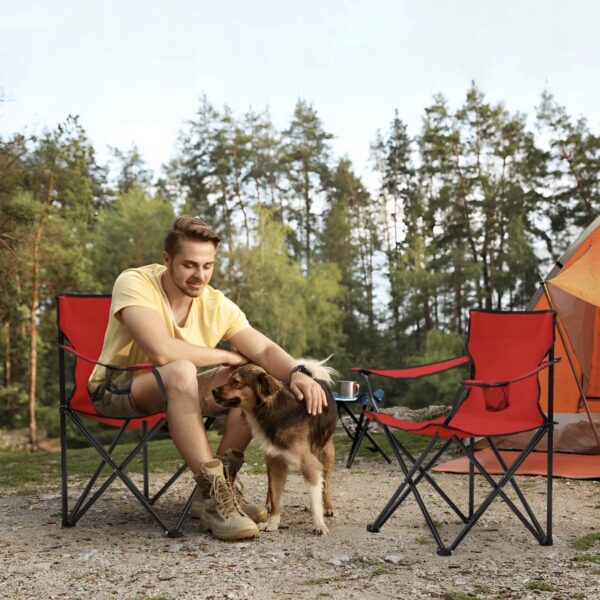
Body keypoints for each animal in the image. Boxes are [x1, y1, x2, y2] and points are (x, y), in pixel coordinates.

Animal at [213, 360, 337, 535]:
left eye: (236, 382)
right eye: (229, 379)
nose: (213, 391)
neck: (272, 411)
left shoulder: (309, 464)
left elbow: (314, 500)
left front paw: (319, 524)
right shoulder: (275, 462)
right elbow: (275, 495)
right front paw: (272, 522)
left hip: (326, 454)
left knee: (327, 483)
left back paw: (329, 506)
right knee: (270, 491)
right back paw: (268, 506)